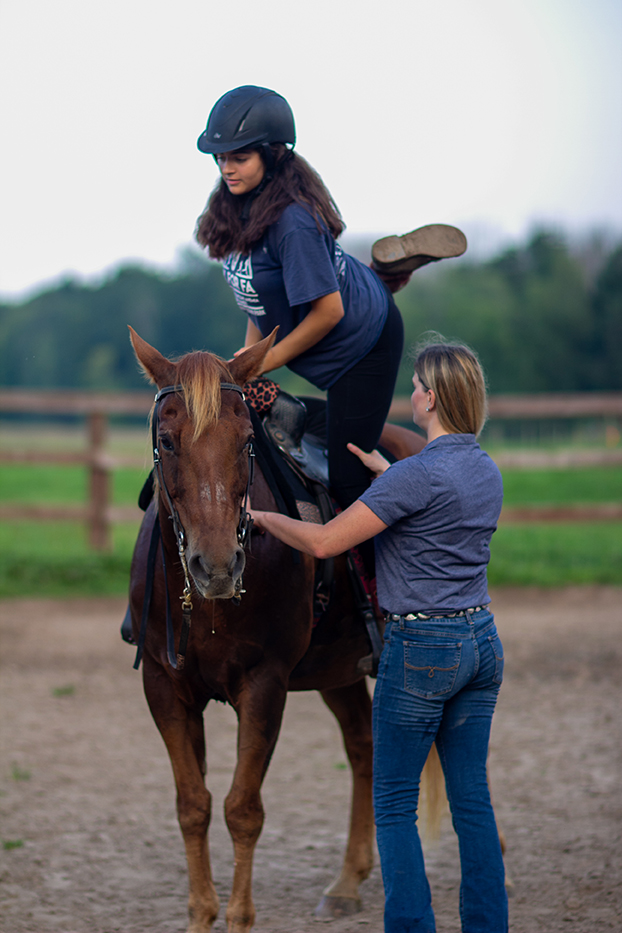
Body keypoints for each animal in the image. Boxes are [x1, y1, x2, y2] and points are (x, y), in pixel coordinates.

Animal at [129, 326, 436, 932]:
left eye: (246, 440)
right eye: (167, 440)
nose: (217, 566)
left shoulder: (264, 685)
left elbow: (243, 809)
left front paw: (239, 917)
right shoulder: (164, 685)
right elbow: (193, 805)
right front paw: (201, 915)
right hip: (339, 670)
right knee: (363, 746)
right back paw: (348, 881)